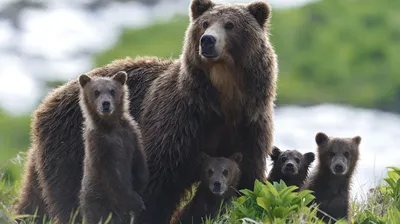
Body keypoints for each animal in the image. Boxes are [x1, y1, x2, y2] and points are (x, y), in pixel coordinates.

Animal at [77, 72, 148, 224]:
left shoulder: (130, 134)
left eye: (112, 90)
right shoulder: (101, 146)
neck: (111, 127)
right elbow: (114, 178)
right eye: (96, 92)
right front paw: (137, 202)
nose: (106, 104)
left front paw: (141, 183)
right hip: (97, 200)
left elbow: (139, 159)